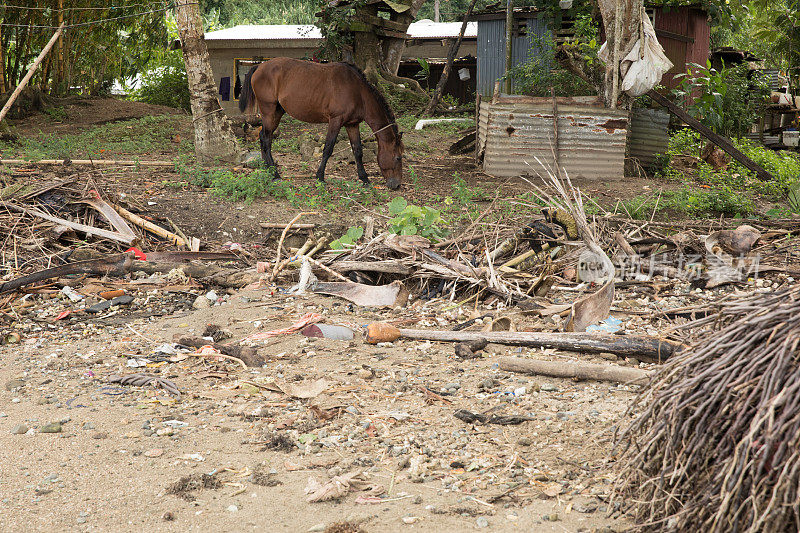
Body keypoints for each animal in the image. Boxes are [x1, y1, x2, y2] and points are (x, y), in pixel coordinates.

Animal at [236, 58, 400, 189]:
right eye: (398, 158)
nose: (397, 185)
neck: (357, 90)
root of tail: (259, 66)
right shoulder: (335, 121)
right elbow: (328, 148)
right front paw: (320, 177)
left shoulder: (352, 124)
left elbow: (358, 150)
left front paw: (364, 178)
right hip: (268, 111)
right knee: (265, 139)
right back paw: (275, 175)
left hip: (276, 112)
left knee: (265, 137)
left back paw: (268, 170)